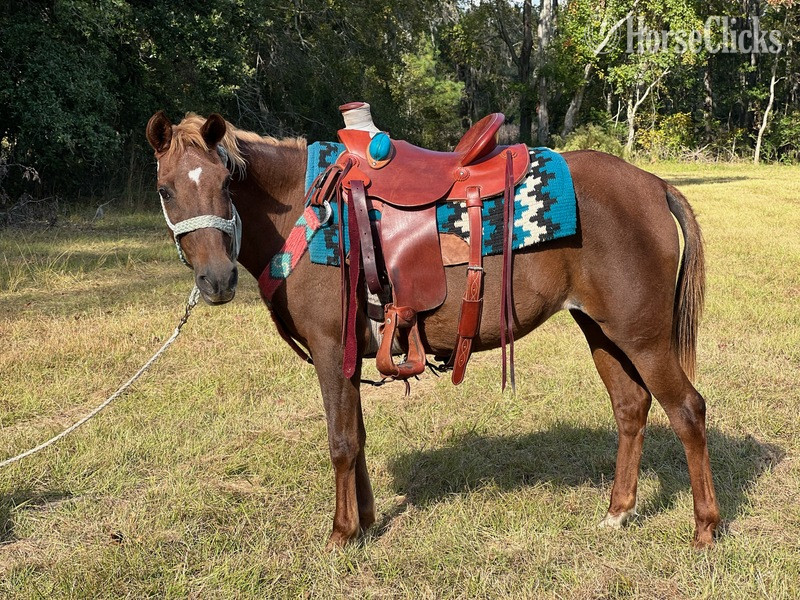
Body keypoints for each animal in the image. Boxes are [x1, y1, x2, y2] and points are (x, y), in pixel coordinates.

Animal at [145, 110, 720, 549]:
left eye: (225, 185)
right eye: (166, 190)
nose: (217, 280)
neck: (308, 212)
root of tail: (654, 185)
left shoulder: (331, 349)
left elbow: (340, 441)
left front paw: (341, 534)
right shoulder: (350, 356)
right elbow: (358, 436)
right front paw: (366, 521)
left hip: (643, 337)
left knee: (688, 411)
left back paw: (705, 529)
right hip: (603, 331)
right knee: (631, 409)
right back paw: (618, 512)